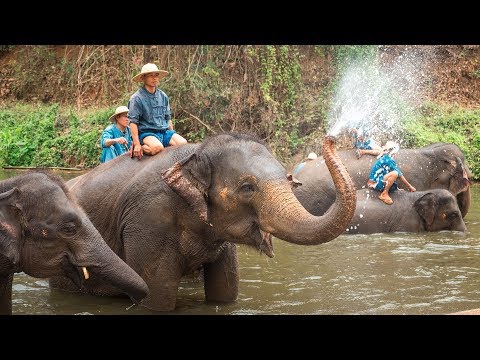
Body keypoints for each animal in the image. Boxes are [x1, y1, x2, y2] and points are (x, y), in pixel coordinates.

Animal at [49, 134, 356, 310]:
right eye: (247, 187)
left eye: (289, 179)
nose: (331, 139)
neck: (196, 153)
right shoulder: (148, 221)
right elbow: (155, 298)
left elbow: (225, 293)